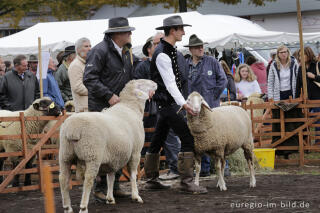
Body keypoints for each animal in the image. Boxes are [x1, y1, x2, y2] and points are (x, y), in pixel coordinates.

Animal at [59, 78, 158, 213]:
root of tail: (73, 129)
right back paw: (83, 207)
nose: (156, 83)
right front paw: (136, 196)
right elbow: (133, 175)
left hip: (65, 155)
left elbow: (110, 177)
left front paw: (110, 198)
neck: (130, 107)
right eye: (142, 84)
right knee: (88, 180)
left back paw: (67, 207)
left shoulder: (113, 156)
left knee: (63, 179)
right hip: (92, 155)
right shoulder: (135, 152)